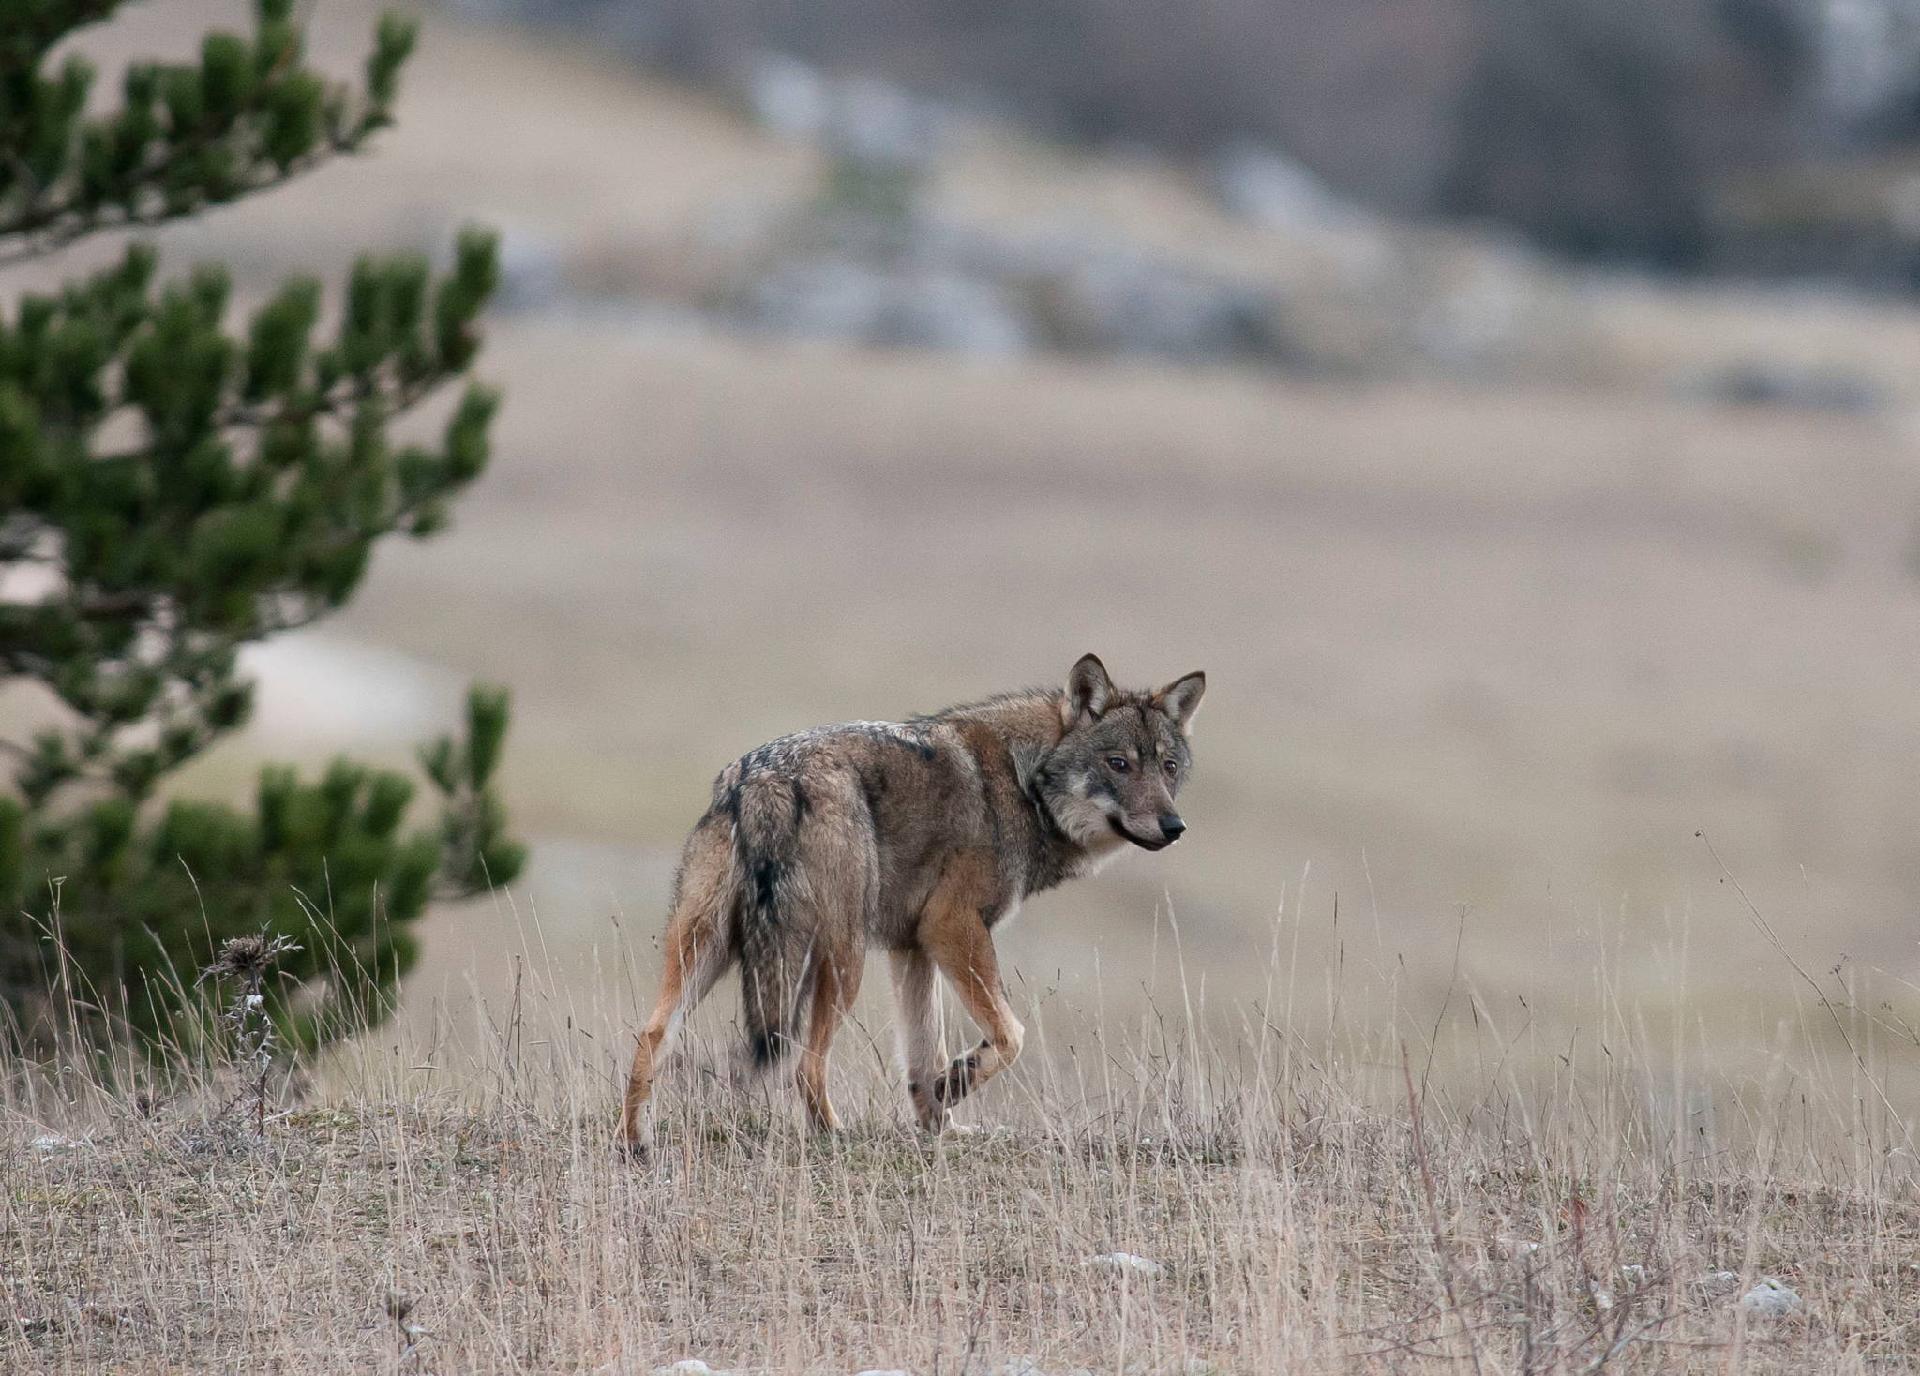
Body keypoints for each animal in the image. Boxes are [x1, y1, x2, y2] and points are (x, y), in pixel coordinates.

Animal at [616, 653, 1204, 1151]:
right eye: (1118, 763)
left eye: (1169, 767)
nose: (1175, 827)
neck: (1022, 785)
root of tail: (764, 778)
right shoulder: (952, 927)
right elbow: (1009, 1035)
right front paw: (956, 1085)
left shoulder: (912, 947)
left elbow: (925, 1059)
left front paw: (940, 1122)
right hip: (841, 962)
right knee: (805, 1065)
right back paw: (835, 1135)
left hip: (709, 950)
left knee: (651, 1036)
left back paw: (634, 1142)